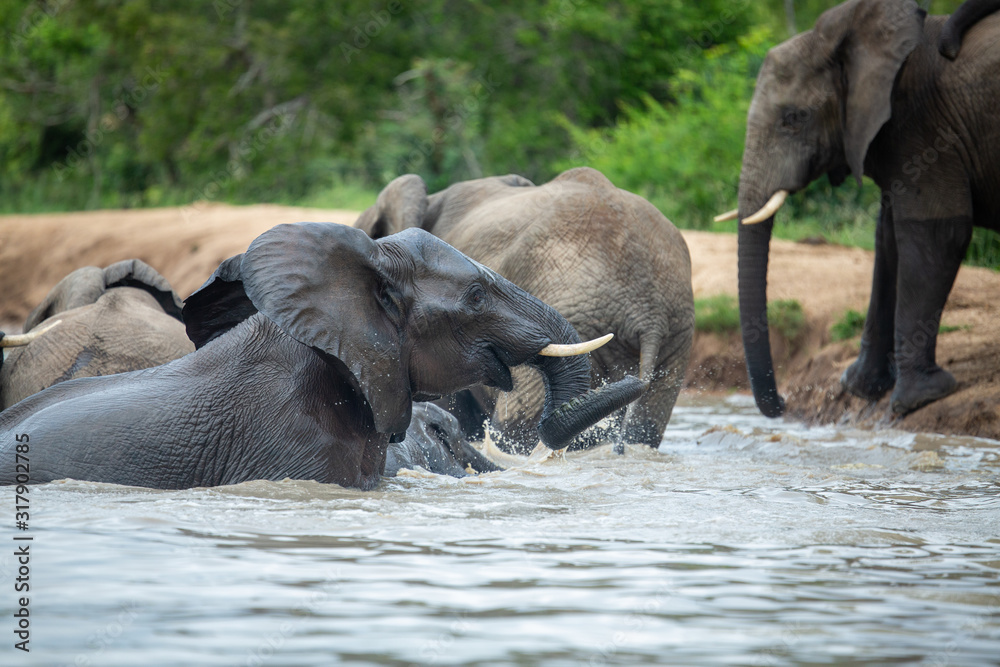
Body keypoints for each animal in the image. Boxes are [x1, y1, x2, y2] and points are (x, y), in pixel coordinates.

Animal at [717, 0, 1000, 418]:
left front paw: (920, 398)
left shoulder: (926, 129)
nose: (784, 402)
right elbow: (888, 240)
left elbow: (937, 233)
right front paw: (860, 387)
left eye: (794, 119)